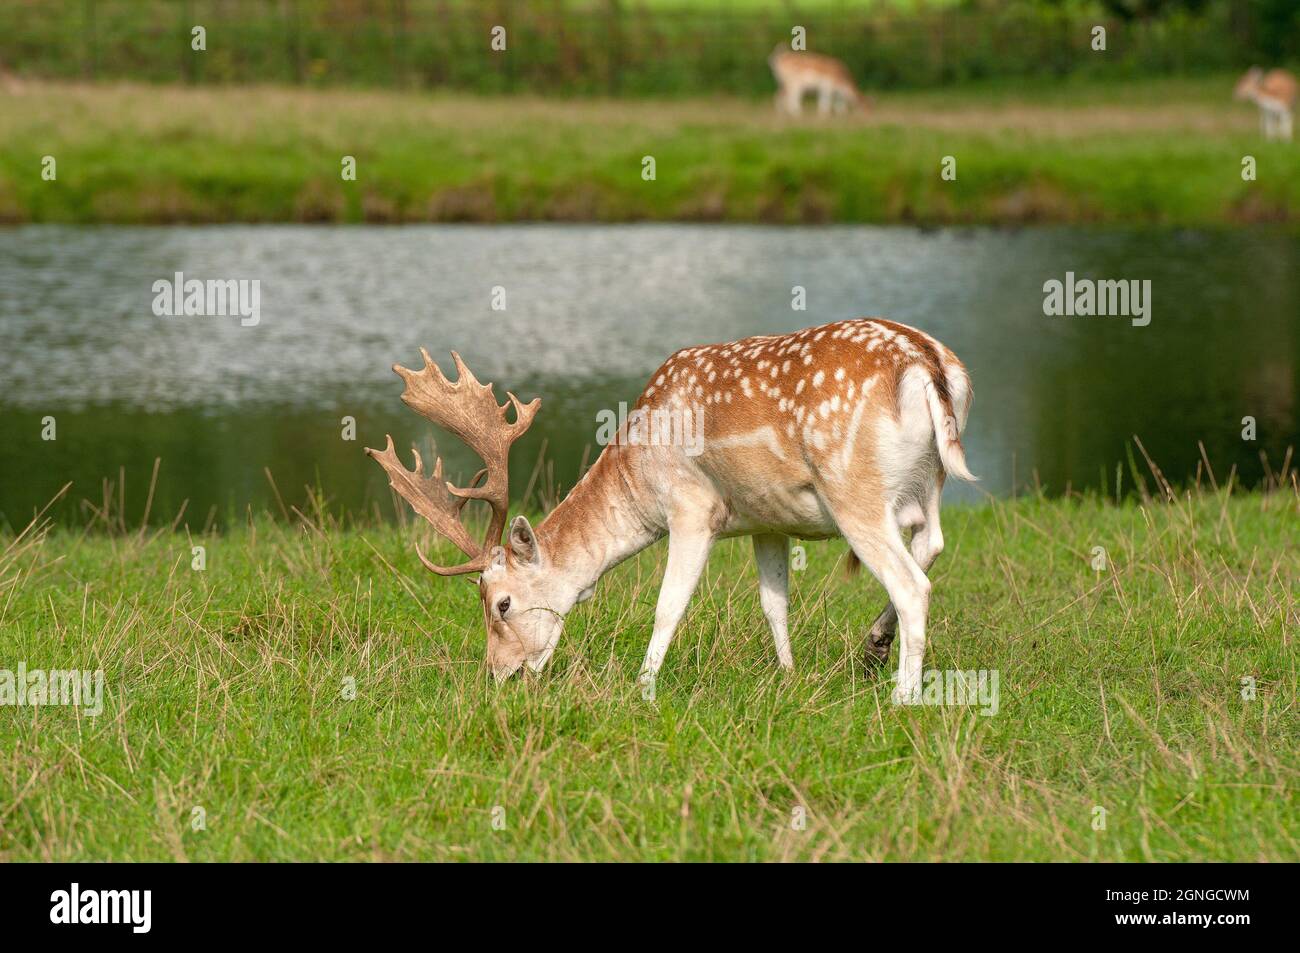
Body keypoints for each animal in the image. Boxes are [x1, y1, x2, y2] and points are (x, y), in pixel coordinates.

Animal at [369, 317, 977, 696]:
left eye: (501, 604)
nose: (499, 675)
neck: (638, 469)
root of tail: (930, 367)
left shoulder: (691, 508)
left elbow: (668, 605)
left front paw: (642, 688)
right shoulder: (766, 519)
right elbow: (774, 603)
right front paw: (787, 676)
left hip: (853, 488)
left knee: (913, 584)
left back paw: (902, 697)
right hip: (928, 483)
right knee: (932, 543)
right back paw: (873, 647)